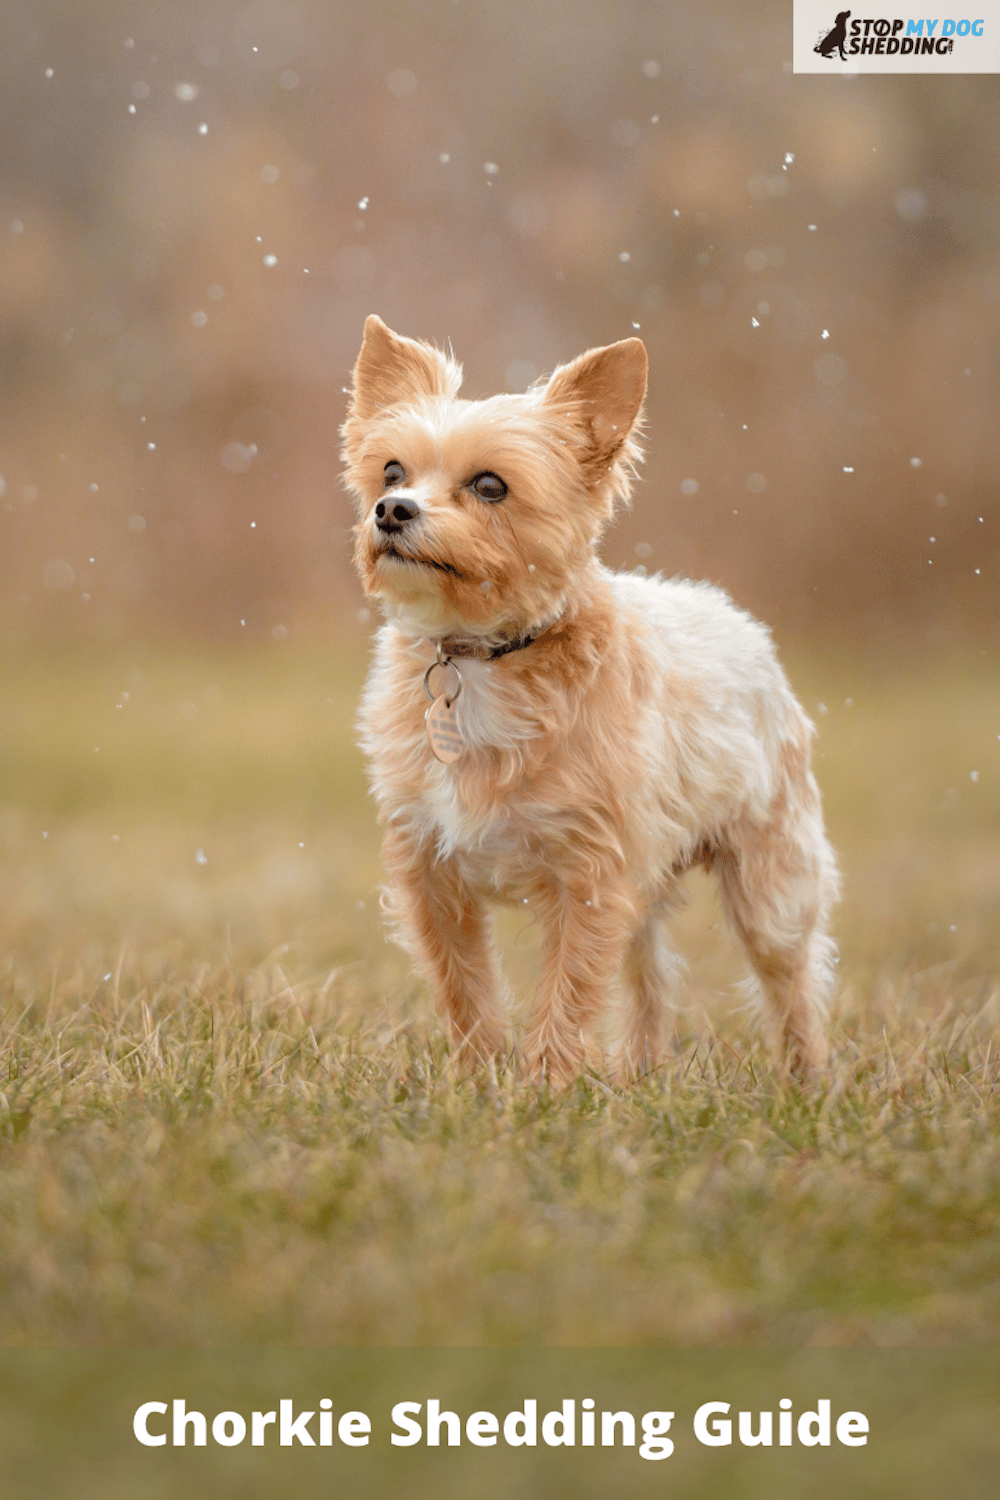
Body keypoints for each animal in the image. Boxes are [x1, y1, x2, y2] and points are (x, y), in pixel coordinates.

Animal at [340, 319, 839, 1092]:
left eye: (490, 485)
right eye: (392, 472)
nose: (392, 510)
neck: (485, 657)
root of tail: (732, 615)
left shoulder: (590, 878)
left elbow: (567, 990)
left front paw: (544, 1087)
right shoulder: (430, 871)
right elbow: (464, 985)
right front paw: (479, 1077)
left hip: (772, 879)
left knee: (793, 980)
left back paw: (805, 1080)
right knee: (650, 977)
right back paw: (638, 1069)